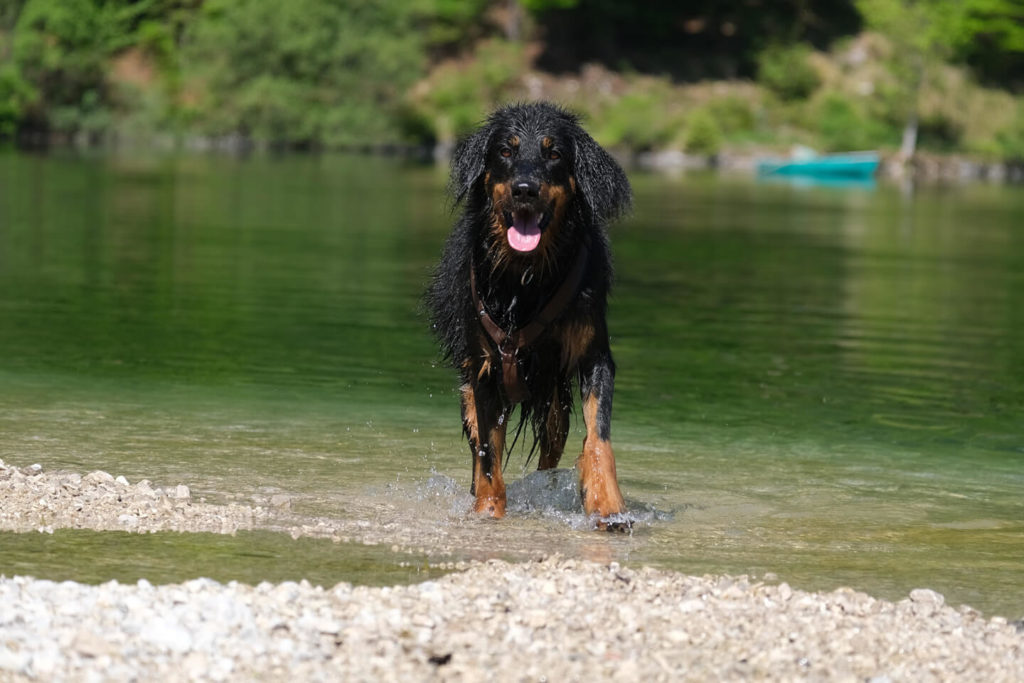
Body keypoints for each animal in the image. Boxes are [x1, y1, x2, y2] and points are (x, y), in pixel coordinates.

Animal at [426, 102, 632, 529]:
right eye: (506, 150)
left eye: (554, 154)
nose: (524, 189)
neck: (525, 277)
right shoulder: (484, 369)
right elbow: (488, 457)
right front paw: (489, 510)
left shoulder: (594, 356)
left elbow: (599, 439)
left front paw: (607, 504)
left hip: (553, 402)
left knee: (551, 449)